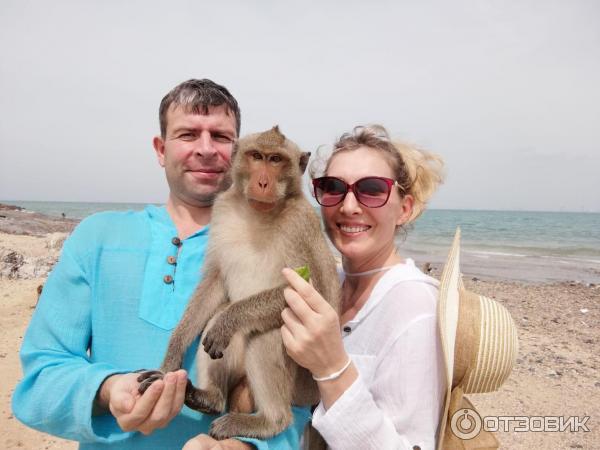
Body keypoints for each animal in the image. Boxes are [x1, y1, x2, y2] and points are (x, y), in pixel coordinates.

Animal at [138, 126, 340, 442]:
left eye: (276, 160)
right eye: (256, 156)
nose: (262, 181)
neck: (259, 213)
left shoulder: (300, 225)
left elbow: (309, 293)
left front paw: (228, 321)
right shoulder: (222, 210)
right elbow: (215, 284)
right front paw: (171, 360)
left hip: (301, 384)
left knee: (267, 332)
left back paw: (270, 421)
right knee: (219, 318)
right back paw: (209, 397)